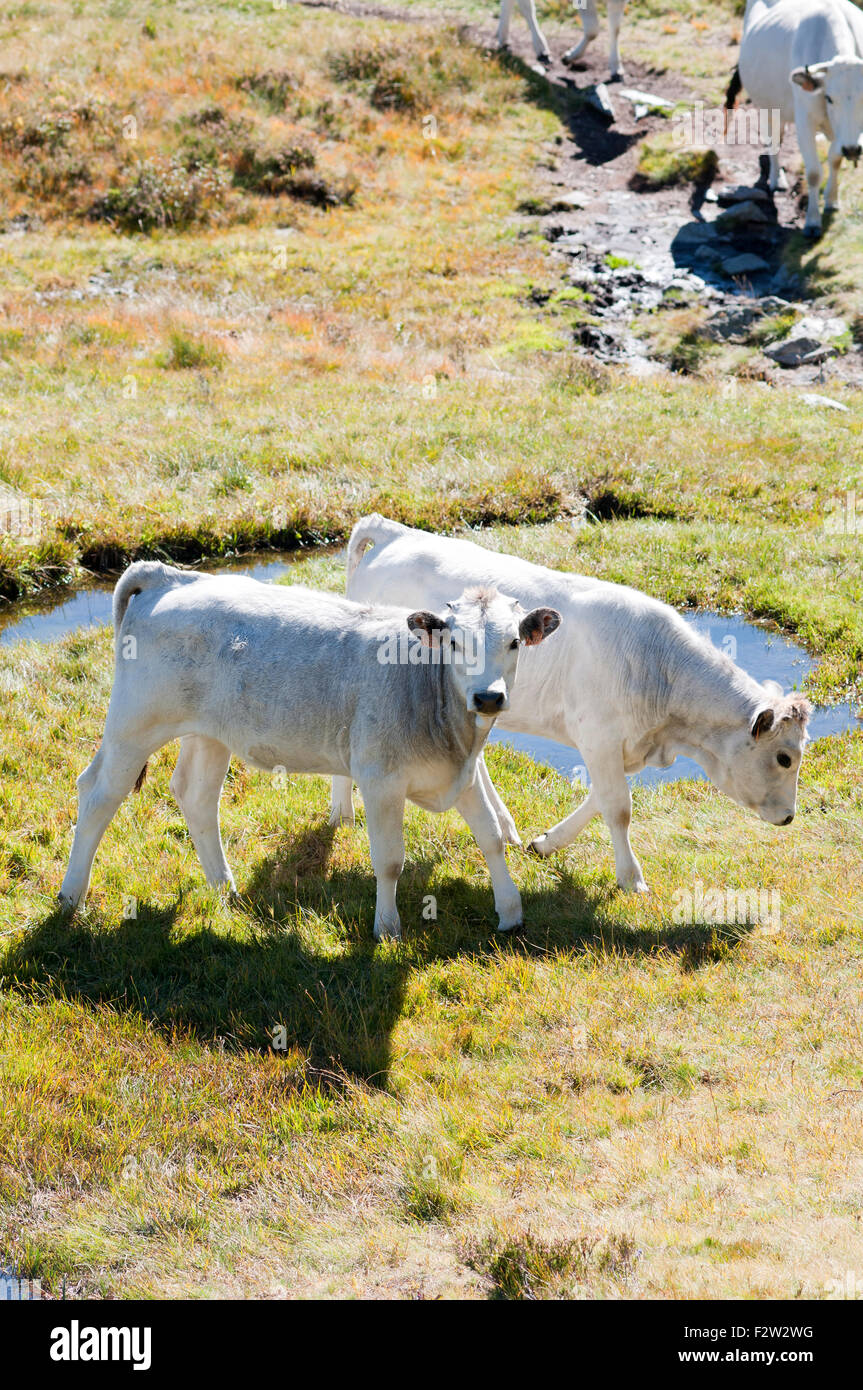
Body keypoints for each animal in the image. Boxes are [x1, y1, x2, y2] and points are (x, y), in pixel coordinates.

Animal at [59, 558, 558, 939]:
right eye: (455, 642)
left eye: (514, 641)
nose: (488, 697)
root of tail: (170, 576)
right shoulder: (380, 780)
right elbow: (390, 861)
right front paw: (387, 928)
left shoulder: (463, 774)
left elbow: (491, 836)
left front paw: (510, 912)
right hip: (134, 725)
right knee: (98, 794)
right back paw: (69, 898)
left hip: (210, 733)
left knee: (195, 796)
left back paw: (224, 888)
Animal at [333, 517, 811, 895]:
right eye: (784, 758)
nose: (790, 818)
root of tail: (395, 532)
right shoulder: (598, 735)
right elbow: (618, 807)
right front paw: (632, 879)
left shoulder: (621, 745)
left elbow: (600, 797)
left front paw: (547, 842)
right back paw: (342, 814)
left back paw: (505, 825)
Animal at [497, 0, 625, 81]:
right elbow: (592, 30)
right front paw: (570, 56)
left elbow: (616, 29)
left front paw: (617, 68)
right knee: (526, 7)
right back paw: (542, 50)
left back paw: (503, 37)